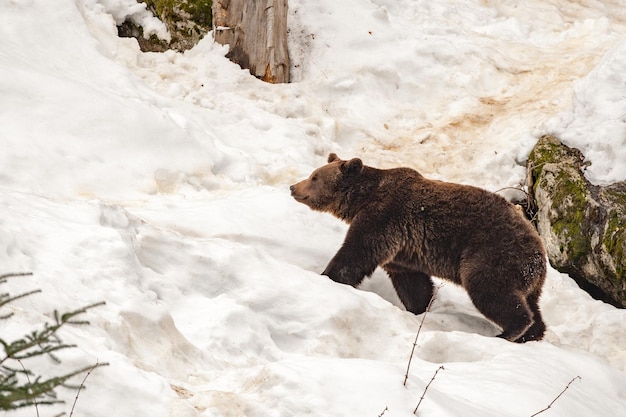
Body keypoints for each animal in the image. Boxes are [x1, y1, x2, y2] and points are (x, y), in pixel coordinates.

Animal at [290, 153, 544, 342]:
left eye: (315, 177)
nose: (293, 186)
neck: (362, 199)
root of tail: (539, 254)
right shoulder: (403, 250)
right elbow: (413, 284)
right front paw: (419, 309)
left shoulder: (383, 217)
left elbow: (355, 254)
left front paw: (327, 276)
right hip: (526, 279)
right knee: (532, 306)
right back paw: (531, 334)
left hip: (493, 253)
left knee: (490, 290)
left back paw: (509, 332)